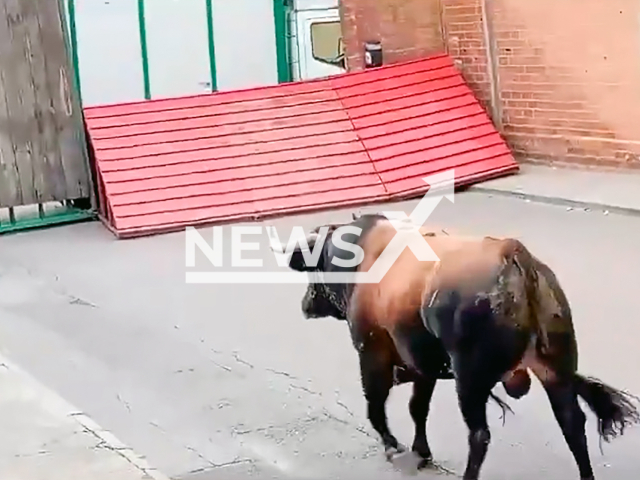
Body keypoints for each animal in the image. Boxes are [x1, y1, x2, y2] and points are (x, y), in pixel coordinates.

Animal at [270, 212, 640, 478]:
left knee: (480, 435)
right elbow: (417, 408)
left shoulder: (371, 350)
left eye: (314, 266)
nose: (306, 304)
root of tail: (512, 254)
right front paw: (421, 451)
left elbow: (376, 403)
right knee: (573, 425)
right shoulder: (424, 365)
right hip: (556, 368)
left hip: (470, 377)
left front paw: (393, 446)